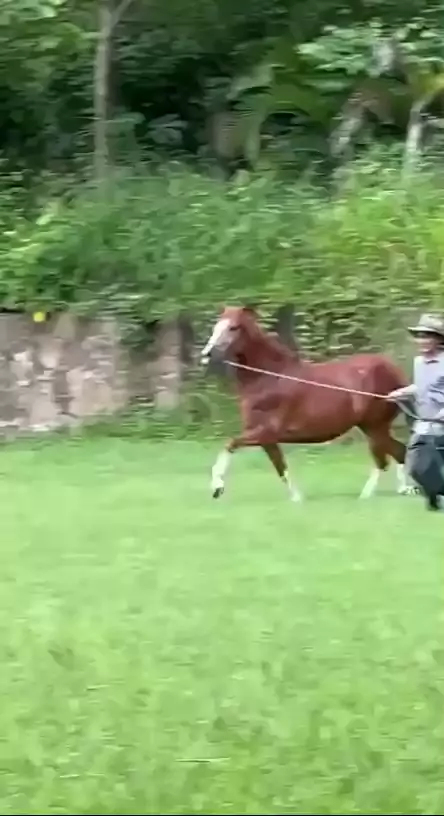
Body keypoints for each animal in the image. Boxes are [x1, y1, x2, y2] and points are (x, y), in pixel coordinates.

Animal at [200, 305, 416, 501]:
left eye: (233, 327)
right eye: (217, 326)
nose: (206, 354)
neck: (270, 378)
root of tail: (394, 372)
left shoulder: (264, 432)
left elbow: (230, 444)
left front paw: (217, 487)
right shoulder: (267, 439)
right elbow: (281, 467)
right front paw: (297, 498)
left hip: (375, 426)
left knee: (386, 458)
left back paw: (368, 495)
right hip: (371, 427)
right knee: (398, 452)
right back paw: (405, 490)